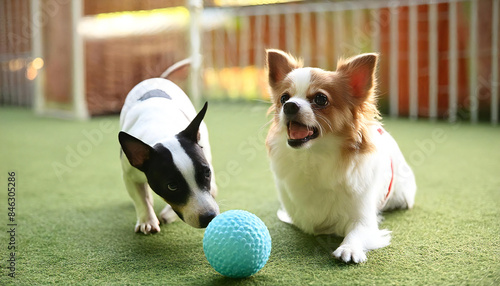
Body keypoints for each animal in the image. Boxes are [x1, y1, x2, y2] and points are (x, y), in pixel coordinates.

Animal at [266, 49, 418, 264]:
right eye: (283, 98)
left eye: (321, 99)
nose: (289, 105)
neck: (314, 157)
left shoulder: (363, 219)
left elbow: (356, 232)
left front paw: (349, 248)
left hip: (404, 195)